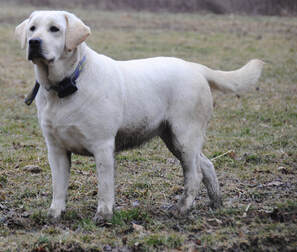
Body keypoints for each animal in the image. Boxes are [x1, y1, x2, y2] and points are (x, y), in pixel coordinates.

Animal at [14, 10, 264, 222]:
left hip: (185, 136)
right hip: (174, 139)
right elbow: (58, 186)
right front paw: (55, 213)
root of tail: (196, 67)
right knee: (207, 165)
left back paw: (182, 209)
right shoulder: (56, 149)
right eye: (33, 28)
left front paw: (104, 215)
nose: (34, 42)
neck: (66, 85)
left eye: (54, 29)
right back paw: (216, 203)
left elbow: (105, 186)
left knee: (194, 174)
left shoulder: (103, 146)